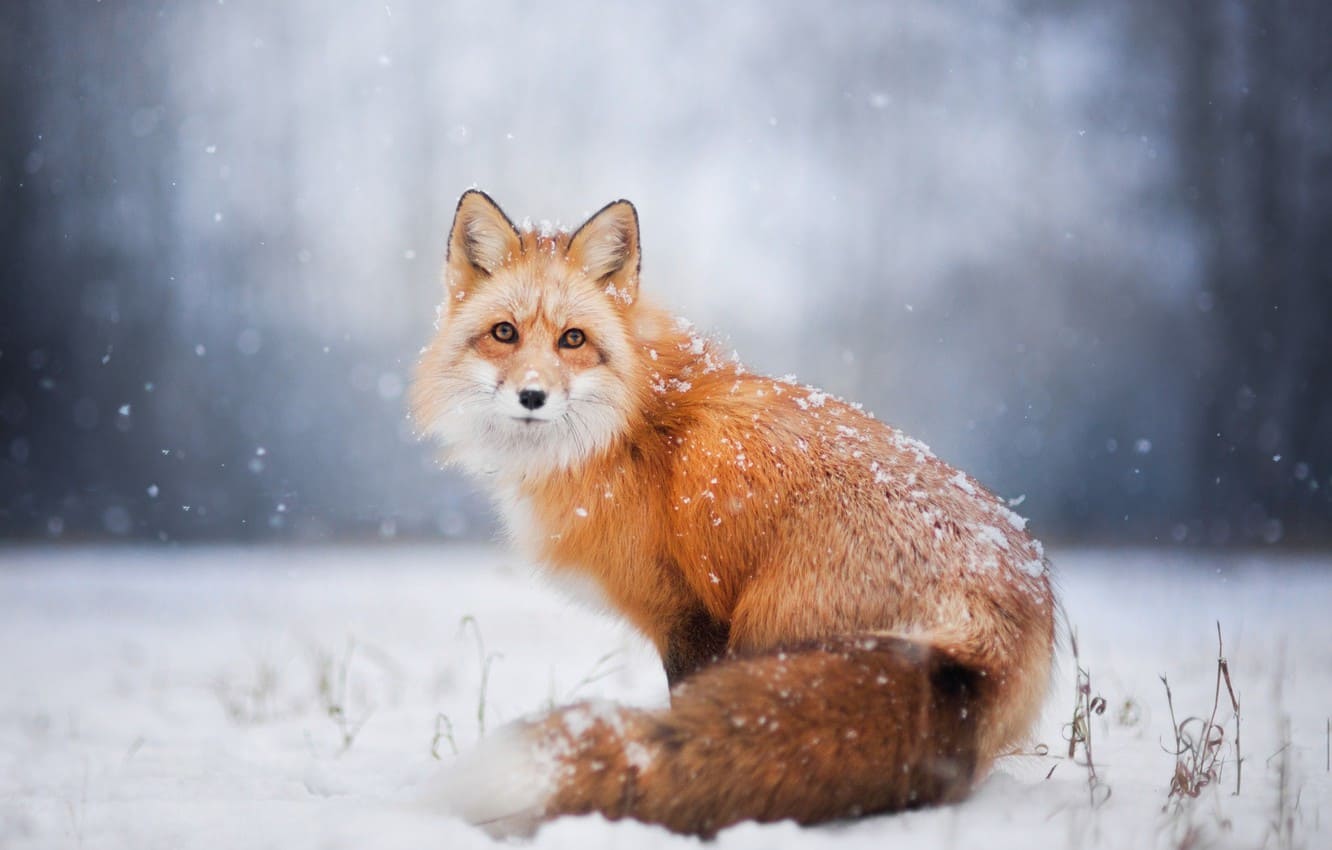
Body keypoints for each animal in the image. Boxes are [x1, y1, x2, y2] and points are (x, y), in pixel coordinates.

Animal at [410, 191, 1054, 842]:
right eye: (504, 332)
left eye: (572, 339)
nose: (533, 396)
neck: (633, 427)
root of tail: (993, 628)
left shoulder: (689, 616)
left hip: (767, 631)